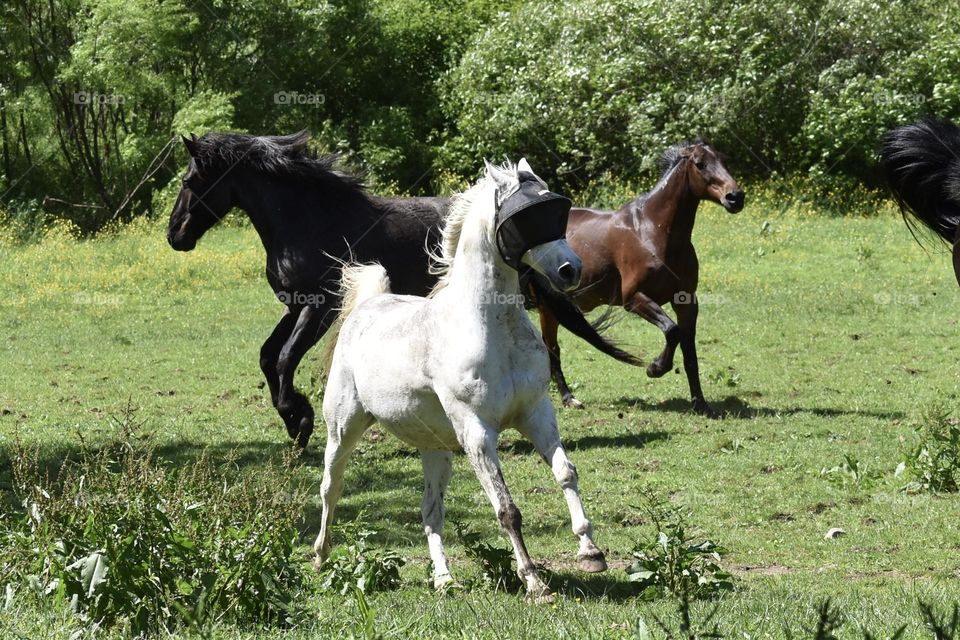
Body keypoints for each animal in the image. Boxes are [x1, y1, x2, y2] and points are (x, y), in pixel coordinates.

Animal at [167, 132, 632, 448]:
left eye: (190, 181)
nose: (175, 236)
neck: (309, 220)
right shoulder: (294, 306)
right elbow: (268, 357)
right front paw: (294, 423)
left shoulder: (319, 307)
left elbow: (283, 359)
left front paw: (299, 420)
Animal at [312, 159, 604, 600]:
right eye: (526, 218)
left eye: (556, 210)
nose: (571, 270)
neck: (492, 328)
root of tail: (368, 304)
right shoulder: (477, 431)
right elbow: (507, 509)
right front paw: (534, 580)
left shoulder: (537, 414)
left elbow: (566, 472)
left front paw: (590, 552)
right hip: (344, 428)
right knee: (332, 487)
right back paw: (321, 556)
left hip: (435, 449)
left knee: (431, 512)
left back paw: (444, 579)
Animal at [536, 141, 748, 416]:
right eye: (700, 164)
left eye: (724, 160)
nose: (735, 197)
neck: (653, 232)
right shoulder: (634, 299)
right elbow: (672, 331)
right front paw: (655, 368)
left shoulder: (686, 302)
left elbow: (690, 353)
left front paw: (701, 404)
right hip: (547, 307)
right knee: (552, 350)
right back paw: (568, 398)